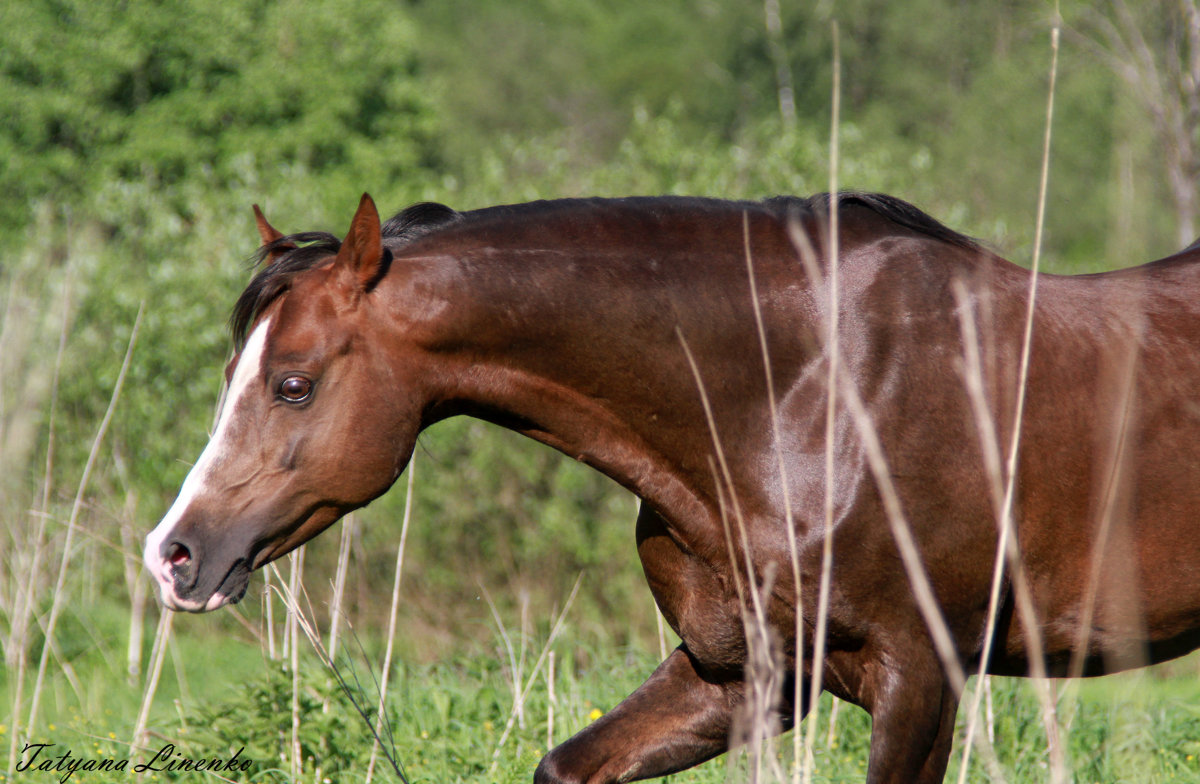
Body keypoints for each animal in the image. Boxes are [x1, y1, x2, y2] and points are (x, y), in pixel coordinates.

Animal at [145, 190, 1200, 782]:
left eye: (293, 384)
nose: (175, 555)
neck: (806, 394)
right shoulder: (742, 676)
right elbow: (570, 766)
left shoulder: (921, 678)